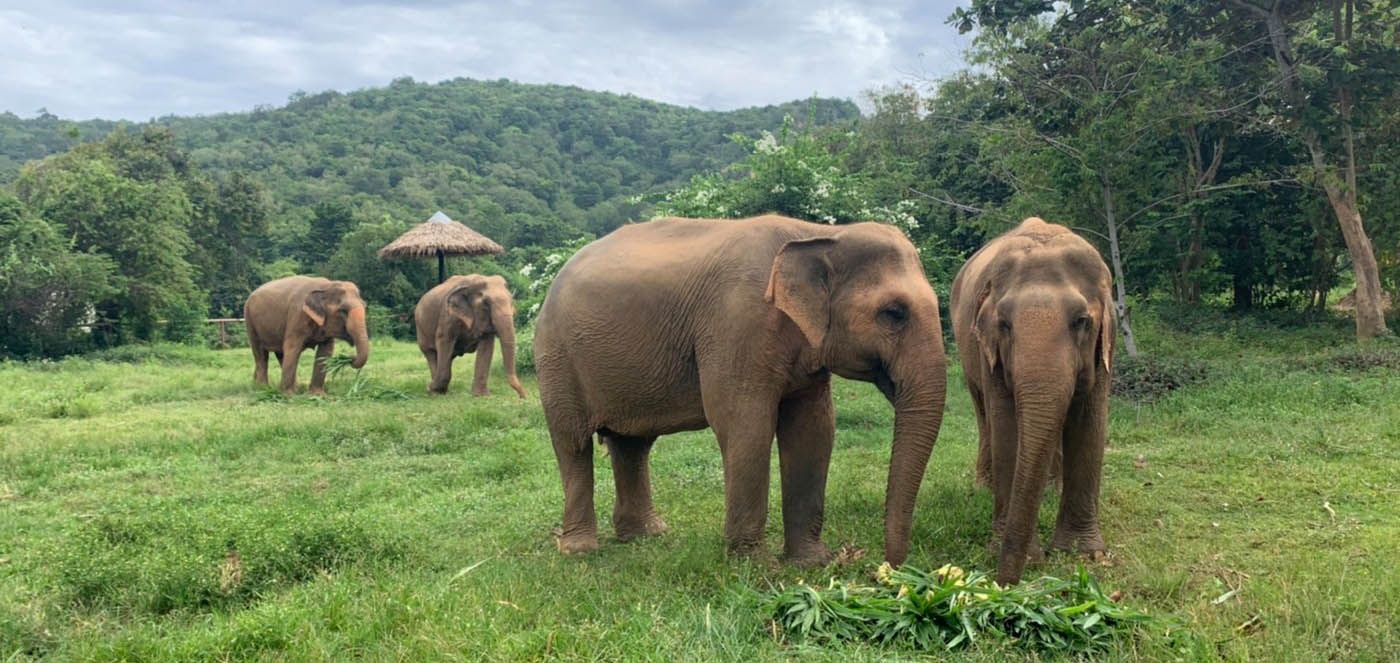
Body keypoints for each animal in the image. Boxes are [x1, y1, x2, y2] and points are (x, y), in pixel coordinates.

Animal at [534, 214, 947, 566]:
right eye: (893, 313)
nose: (888, 567)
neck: (817, 233)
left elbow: (814, 431)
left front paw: (811, 563)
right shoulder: (737, 325)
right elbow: (745, 424)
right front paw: (756, 567)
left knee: (632, 445)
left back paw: (646, 536)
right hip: (556, 356)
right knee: (573, 442)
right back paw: (579, 550)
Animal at [949, 217, 1115, 585]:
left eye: (1081, 321)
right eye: (1004, 325)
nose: (1003, 583)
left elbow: (1089, 425)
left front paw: (1084, 554)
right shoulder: (990, 351)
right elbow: (1007, 428)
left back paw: (1051, 489)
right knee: (983, 415)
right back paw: (985, 486)